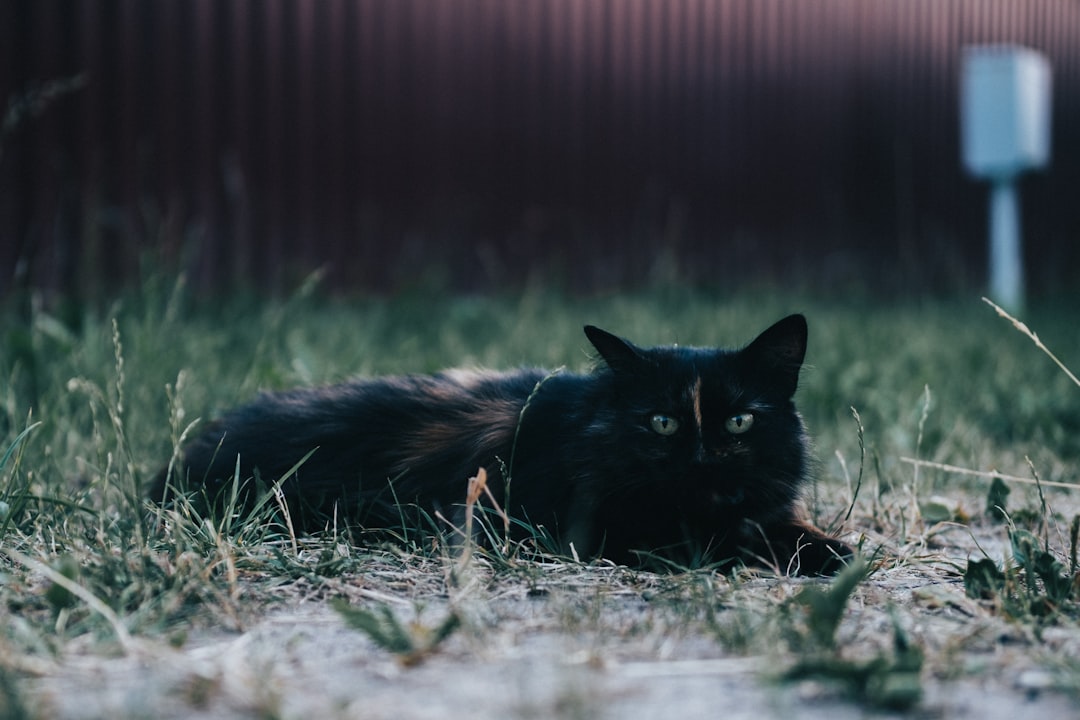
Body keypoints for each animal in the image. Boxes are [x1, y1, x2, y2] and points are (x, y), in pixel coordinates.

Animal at [150, 313, 851, 574]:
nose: (704, 461)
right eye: (662, 423)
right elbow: (726, 540)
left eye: (740, 423)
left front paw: (829, 551)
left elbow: (795, 529)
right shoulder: (596, 529)